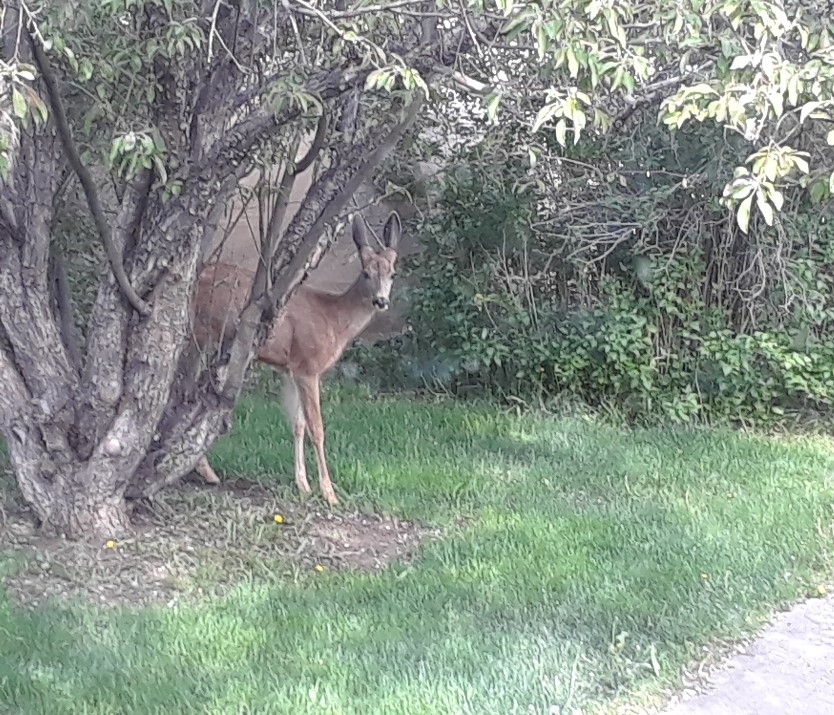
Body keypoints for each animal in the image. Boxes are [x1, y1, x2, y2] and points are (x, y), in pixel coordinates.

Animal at [189, 210, 402, 506]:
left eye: (392, 273)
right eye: (366, 273)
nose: (381, 301)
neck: (335, 319)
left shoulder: (290, 368)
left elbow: (298, 424)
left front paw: (303, 484)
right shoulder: (309, 366)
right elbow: (317, 427)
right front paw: (329, 492)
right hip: (199, 333)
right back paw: (205, 470)